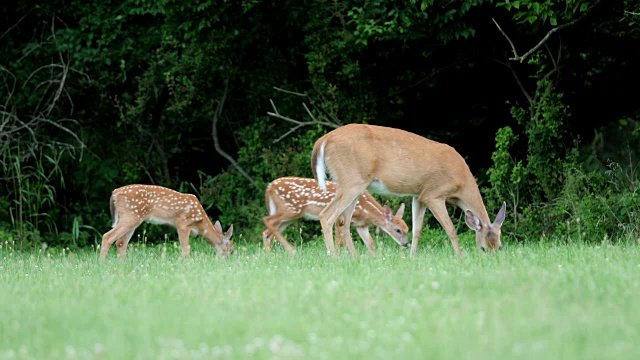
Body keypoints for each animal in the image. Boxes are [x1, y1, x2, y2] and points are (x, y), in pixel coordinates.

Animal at [98, 186, 232, 258]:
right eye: (231, 250)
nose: (226, 261)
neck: (200, 223)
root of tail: (115, 193)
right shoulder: (183, 224)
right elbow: (186, 248)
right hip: (130, 216)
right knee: (107, 236)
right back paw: (102, 263)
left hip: (131, 219)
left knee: (120, 242)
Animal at [262, 176, 408, 255]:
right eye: (398, 230)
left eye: (407, 229)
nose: (406, 244)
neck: (365, 209)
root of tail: (269, 187)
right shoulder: (340, 218)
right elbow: (340, 242)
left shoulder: (361, 225)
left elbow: (371, 243)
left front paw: (374, 258)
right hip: (291, 209)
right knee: (267, 220)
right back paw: (292, 250)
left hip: (290, 216)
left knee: (267, 233)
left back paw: (271, 256)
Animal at [312, 124, 508, 258]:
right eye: (483, 248)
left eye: (500, 247)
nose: (492, 259)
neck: (461, 183)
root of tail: (323, 141)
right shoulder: (434, 194)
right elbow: (451, 229)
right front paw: (459, 257)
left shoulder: (419, 195)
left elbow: (417, 229)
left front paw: (412, 257)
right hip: (351, 180)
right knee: (327, 215)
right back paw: (334, 257)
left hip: (354, 185)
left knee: (344, 221)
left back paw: (355, 258)